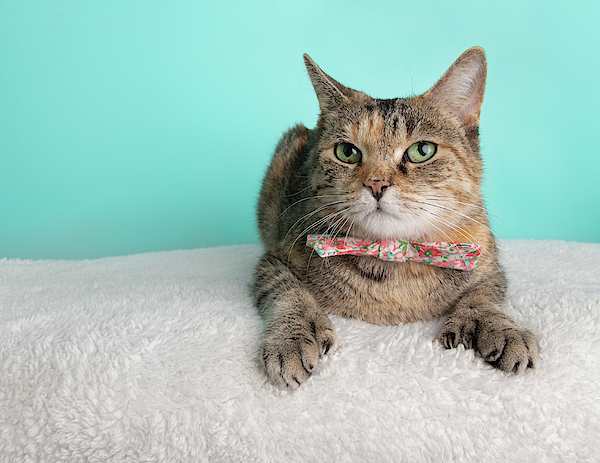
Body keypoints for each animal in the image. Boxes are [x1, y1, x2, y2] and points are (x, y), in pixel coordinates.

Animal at [251, 48, 540, 388]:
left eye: (422, 150)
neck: (394, 259)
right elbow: (287, 292)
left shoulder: (488, 265)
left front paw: (502, 327)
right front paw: (291, 339)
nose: (376, 184)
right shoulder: (273, 259)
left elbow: (484, 297)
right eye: (347, 152)